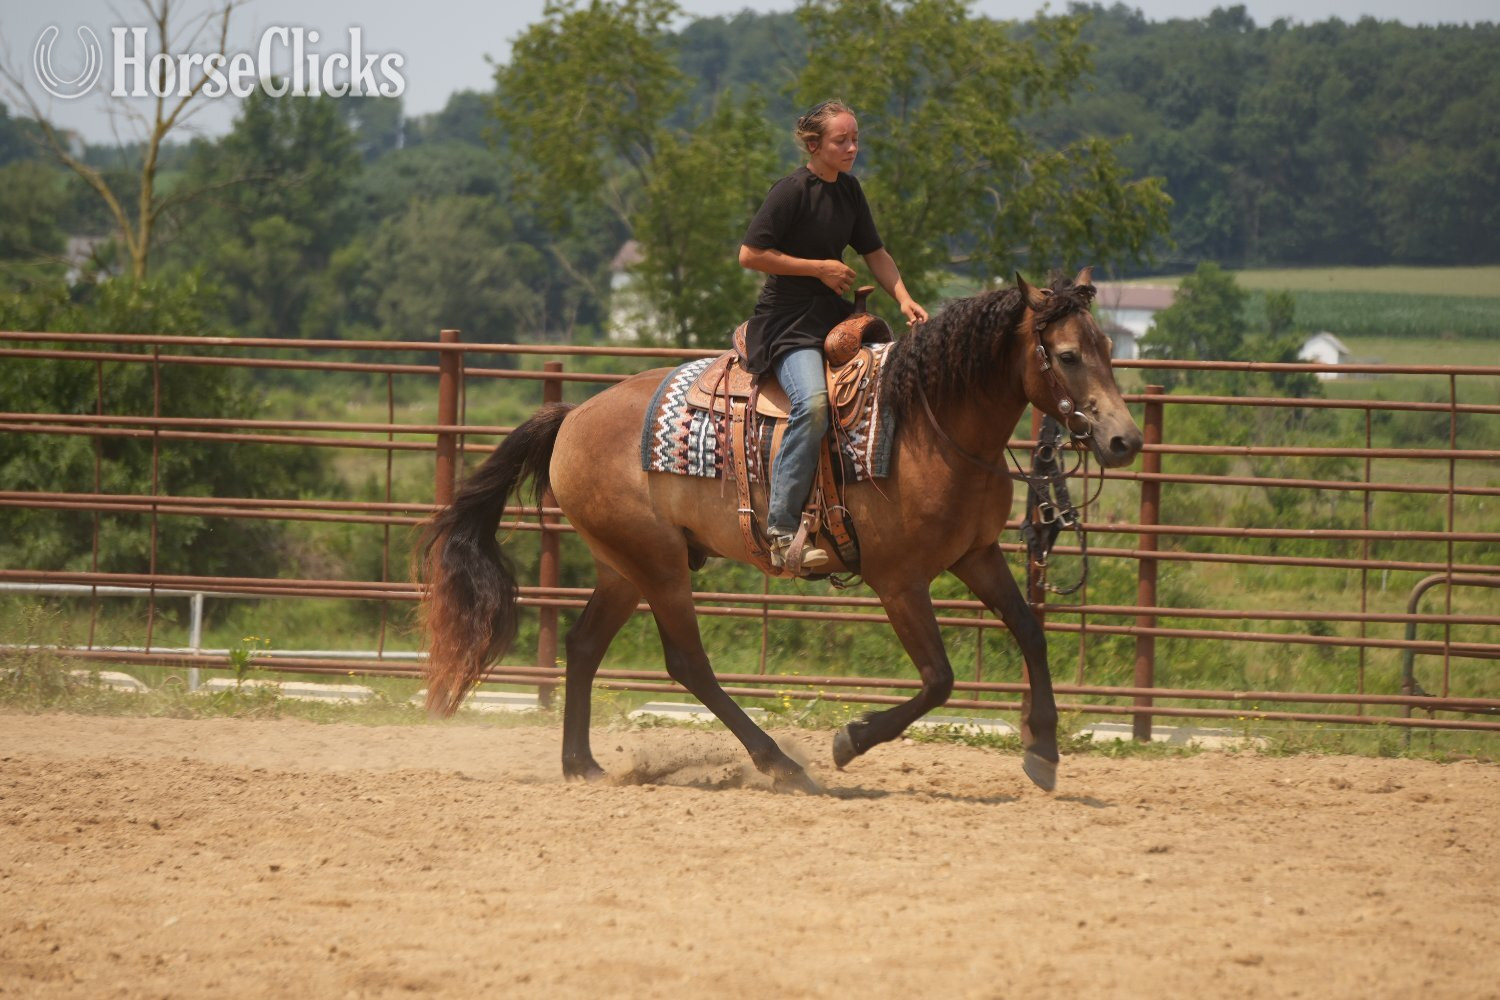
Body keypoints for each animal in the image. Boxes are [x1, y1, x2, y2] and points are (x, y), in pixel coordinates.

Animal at [417, 268, 1142, 794]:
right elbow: (939, 677)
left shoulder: (978, 555)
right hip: (657, 566)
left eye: (1110, 349)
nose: (1124, 439)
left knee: (585, 644)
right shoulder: (899, 580)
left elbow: (1029, 631)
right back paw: (781, 764)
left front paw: (1042, 749)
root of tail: (571, 416)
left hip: (623, 565)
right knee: (687, 664)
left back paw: (583, 765)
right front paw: (850, 740)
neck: (928, 423)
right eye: (1068, 355)